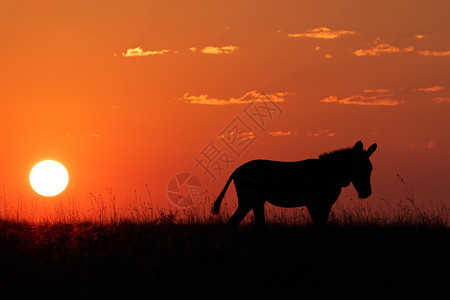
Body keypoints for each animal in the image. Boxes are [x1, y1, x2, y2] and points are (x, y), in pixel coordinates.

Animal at [211, 140, 376, 225]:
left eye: (370, 169)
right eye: (358, 169)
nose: (367, 193)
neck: (330, 174)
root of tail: (238, 169)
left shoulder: (327, 203)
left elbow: (323, 225)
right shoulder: (313, 201)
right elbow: (318, 226)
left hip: (246, 200)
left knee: (232, 223)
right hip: (254, 196)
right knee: (258, 224)